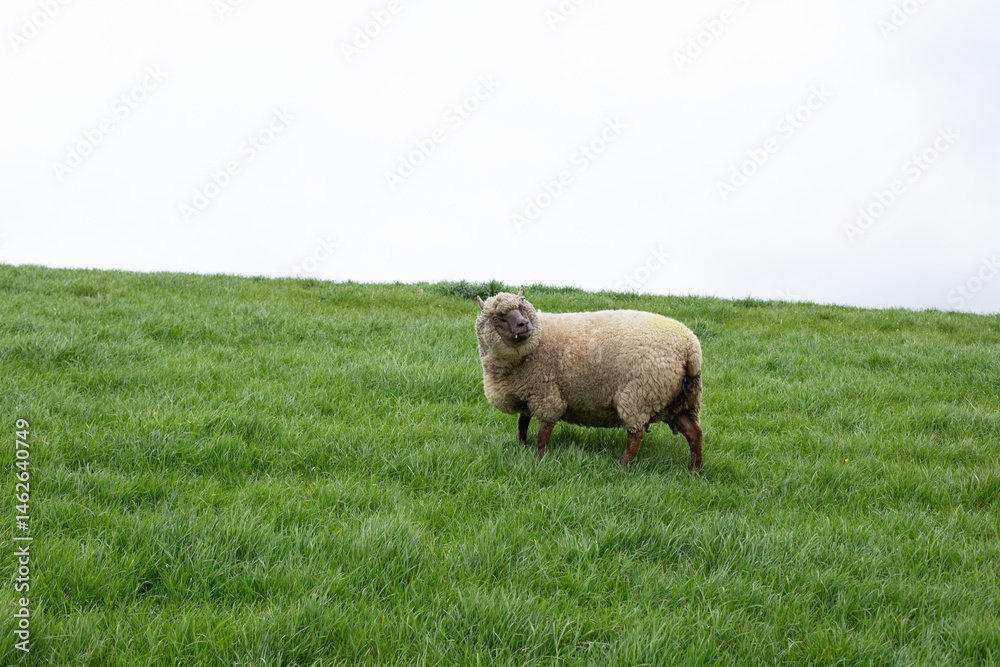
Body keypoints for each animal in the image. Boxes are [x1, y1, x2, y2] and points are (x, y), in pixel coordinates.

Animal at [475, 287, 703, 468]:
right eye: (496, 317)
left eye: (521, 308)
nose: (524, 324)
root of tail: (690, 348)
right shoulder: (527, 393)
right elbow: (522, 423)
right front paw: (522, 448)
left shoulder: (546, 394)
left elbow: (543, 432)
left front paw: (540, 459)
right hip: (679, 400)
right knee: (694, 433)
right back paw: (695, 469)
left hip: (638, 395)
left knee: (635, 435)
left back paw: (623, 467)